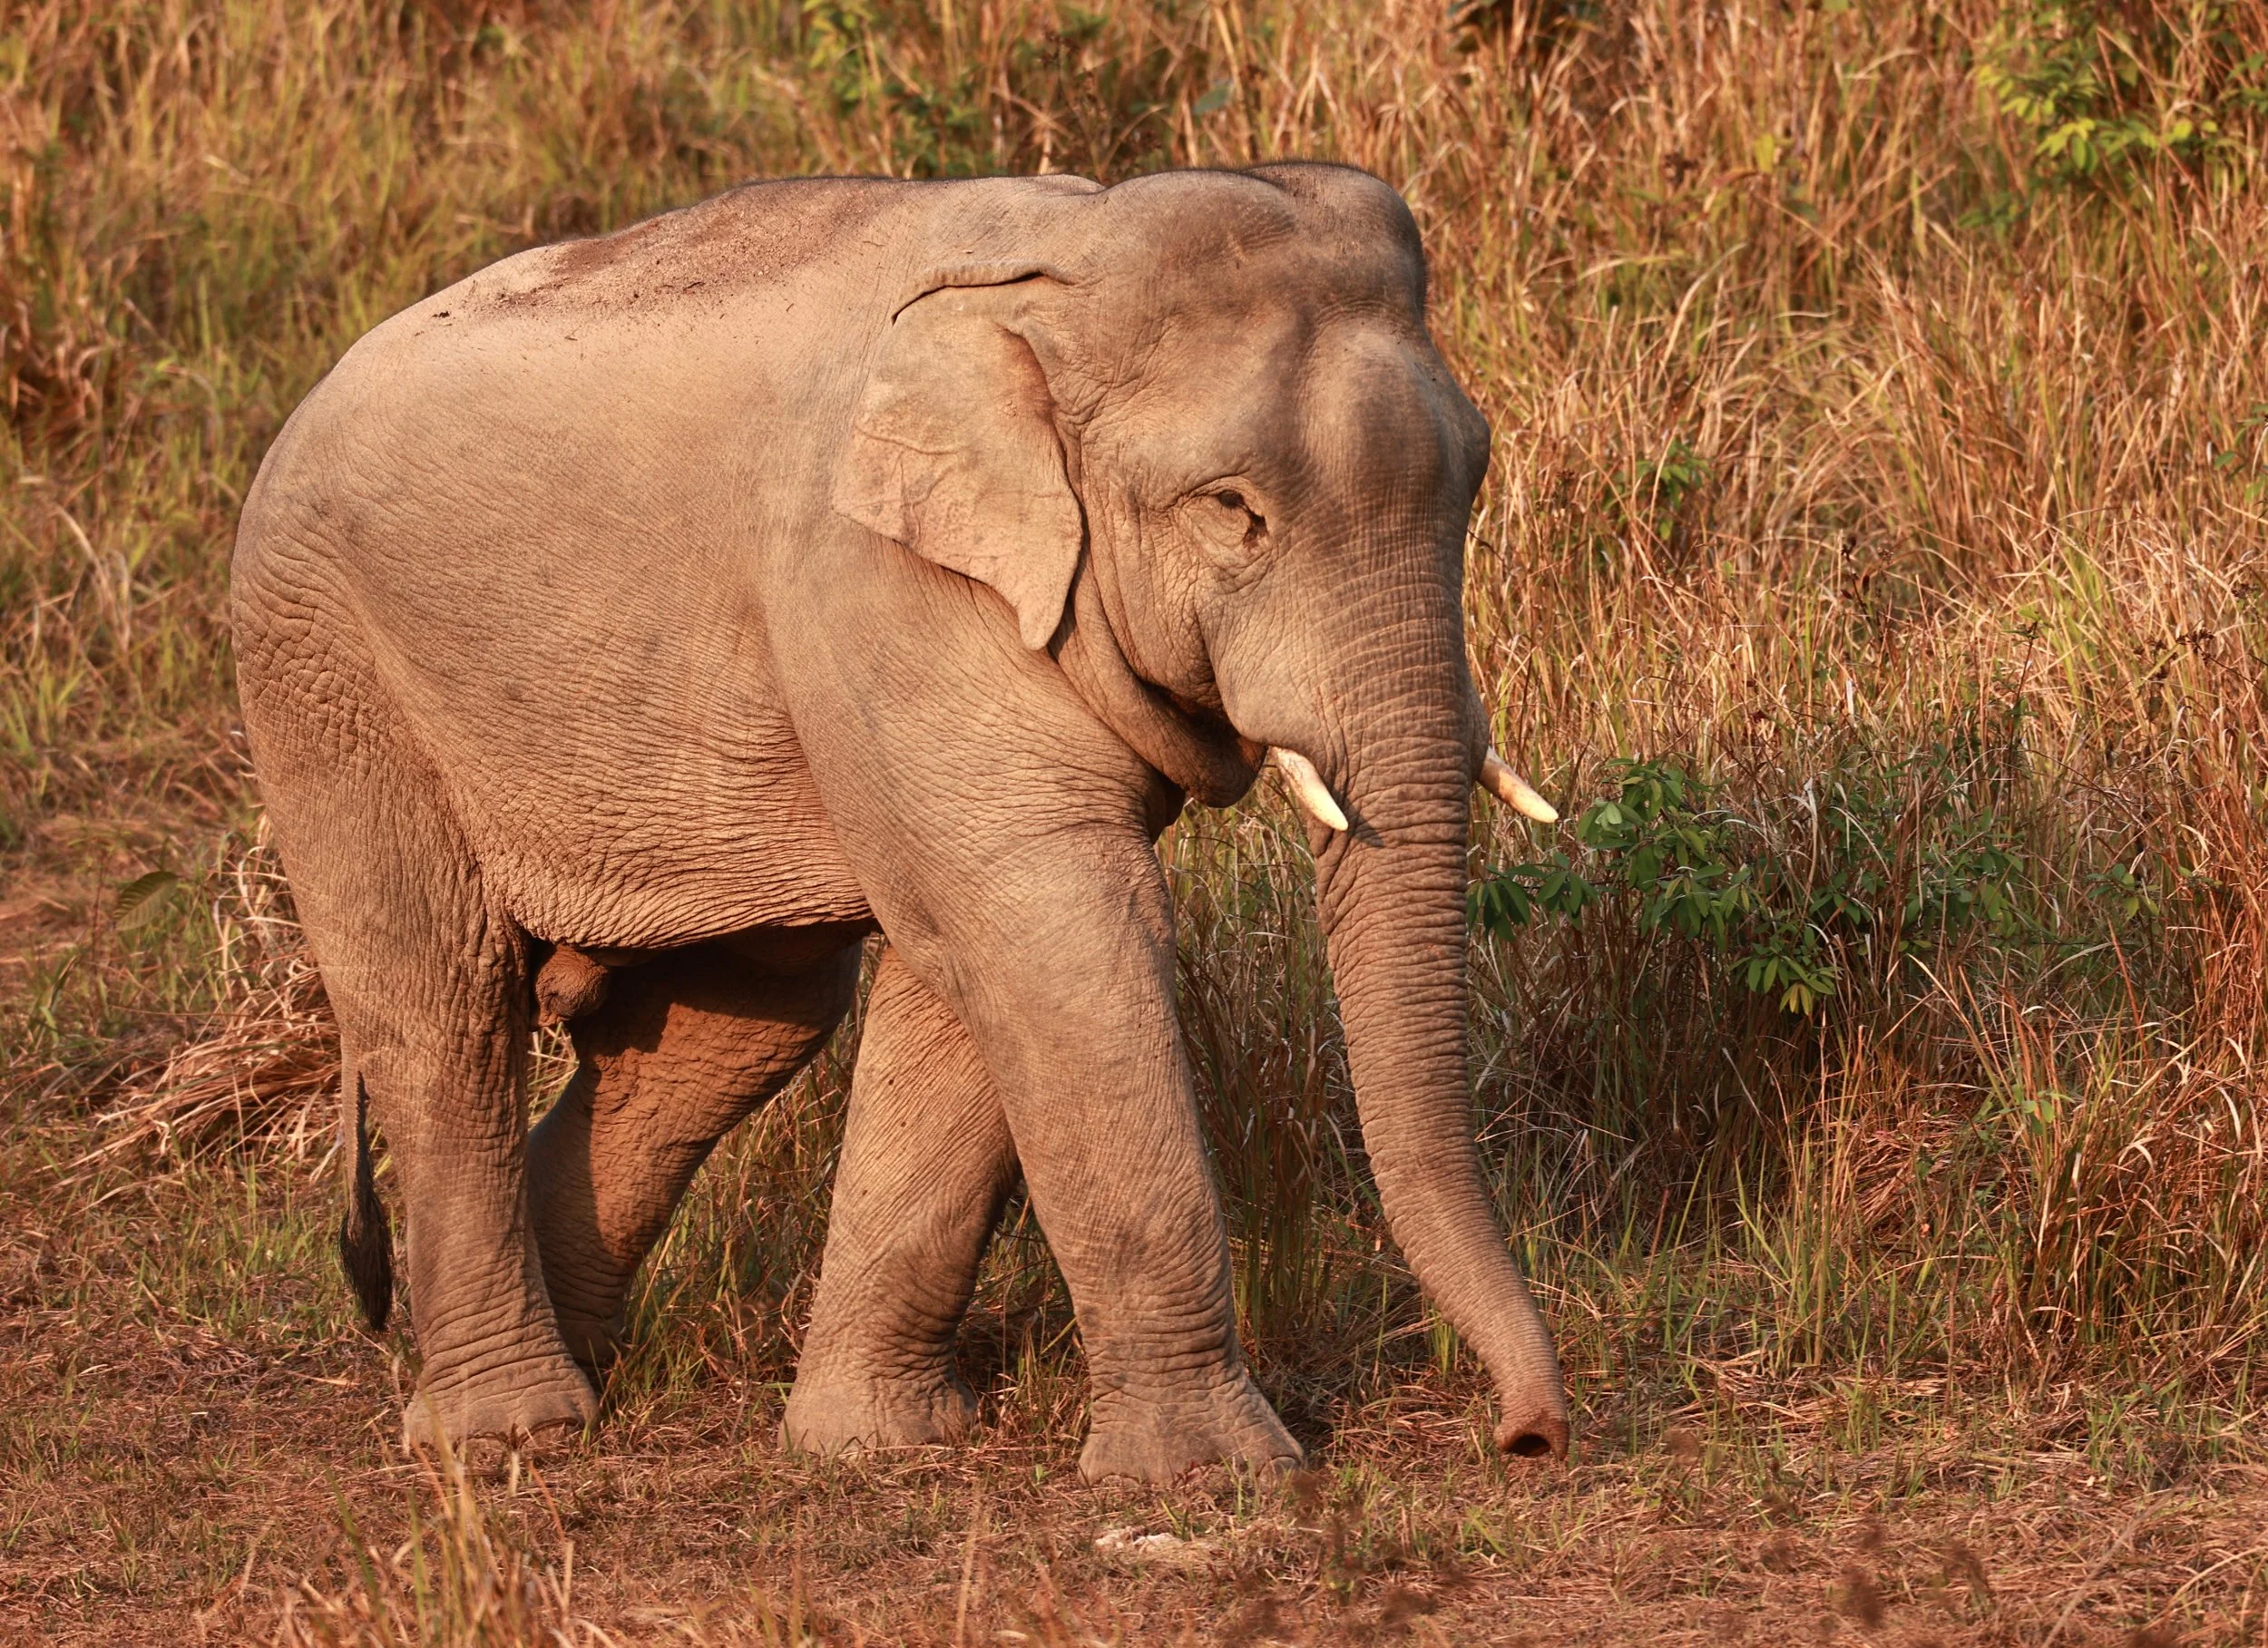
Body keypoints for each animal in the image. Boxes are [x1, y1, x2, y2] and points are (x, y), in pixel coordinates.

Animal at [230, 162, 1571, 1484]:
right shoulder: (882, 583)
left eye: (1472, 481)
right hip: (326, 673)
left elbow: (973, 963)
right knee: (439, 1009)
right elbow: (1062, 929)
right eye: (1230, 508)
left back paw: (584, 1371)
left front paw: (874, 1443)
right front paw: (1217, 1479)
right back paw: (510, 1430)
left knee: (743, 1017)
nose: (1529, 1435)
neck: (1064, 255)